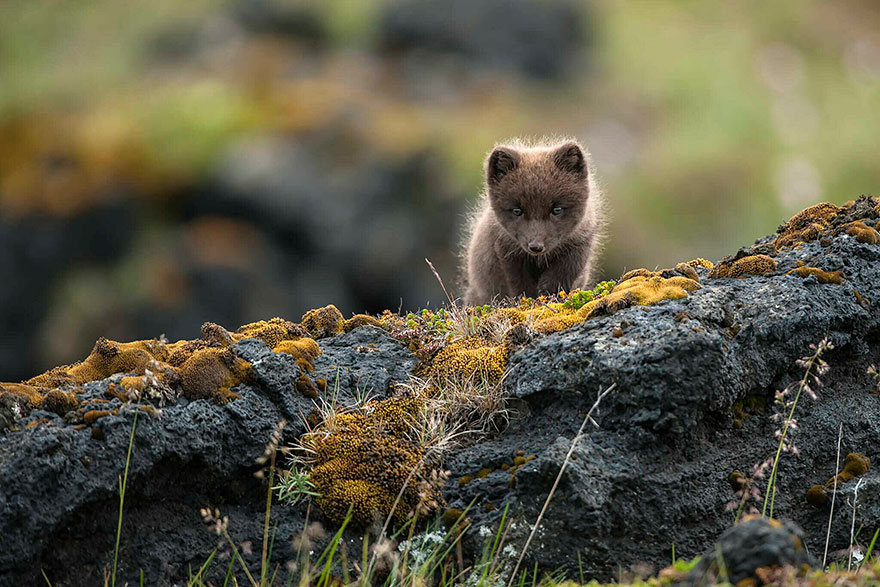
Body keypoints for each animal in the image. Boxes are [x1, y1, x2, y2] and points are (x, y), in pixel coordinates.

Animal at [461, 138, 605, 306]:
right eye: (517, 211)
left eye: (557, 209)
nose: (536, 246)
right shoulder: (507, 252)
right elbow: (521, 286)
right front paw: (529, 302)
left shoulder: (579, 246)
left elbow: (558, 278)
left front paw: (549, 298)